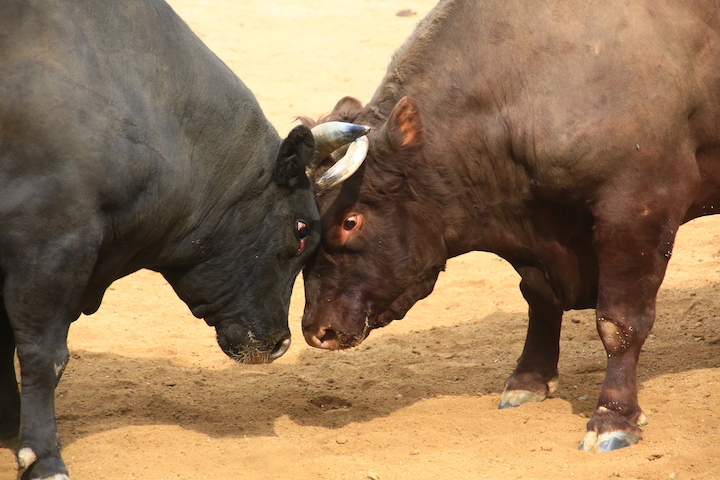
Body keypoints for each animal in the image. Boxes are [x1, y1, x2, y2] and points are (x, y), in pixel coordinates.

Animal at [300, 0, 720, 454]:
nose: (316, 331)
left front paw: (613, 418)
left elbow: (619, 322)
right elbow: (539, 298)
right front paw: (529, 380)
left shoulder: (638, 208)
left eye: (350, 221)